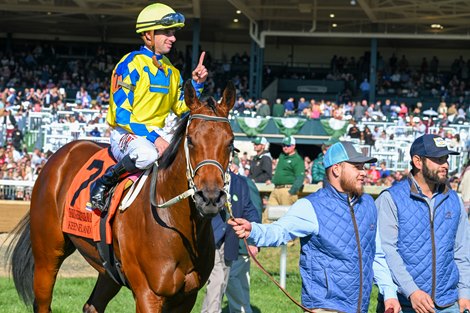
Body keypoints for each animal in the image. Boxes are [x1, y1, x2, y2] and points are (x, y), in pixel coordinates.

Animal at [7, 79, 235, 310]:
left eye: (231, 143)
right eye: (190, 140)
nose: (210, 198)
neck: (175, 224)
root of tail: (62, 153)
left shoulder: (187, 297)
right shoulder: (147, 294)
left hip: (108, 268)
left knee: (92, 305)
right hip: (47, 255)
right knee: (43, 301)